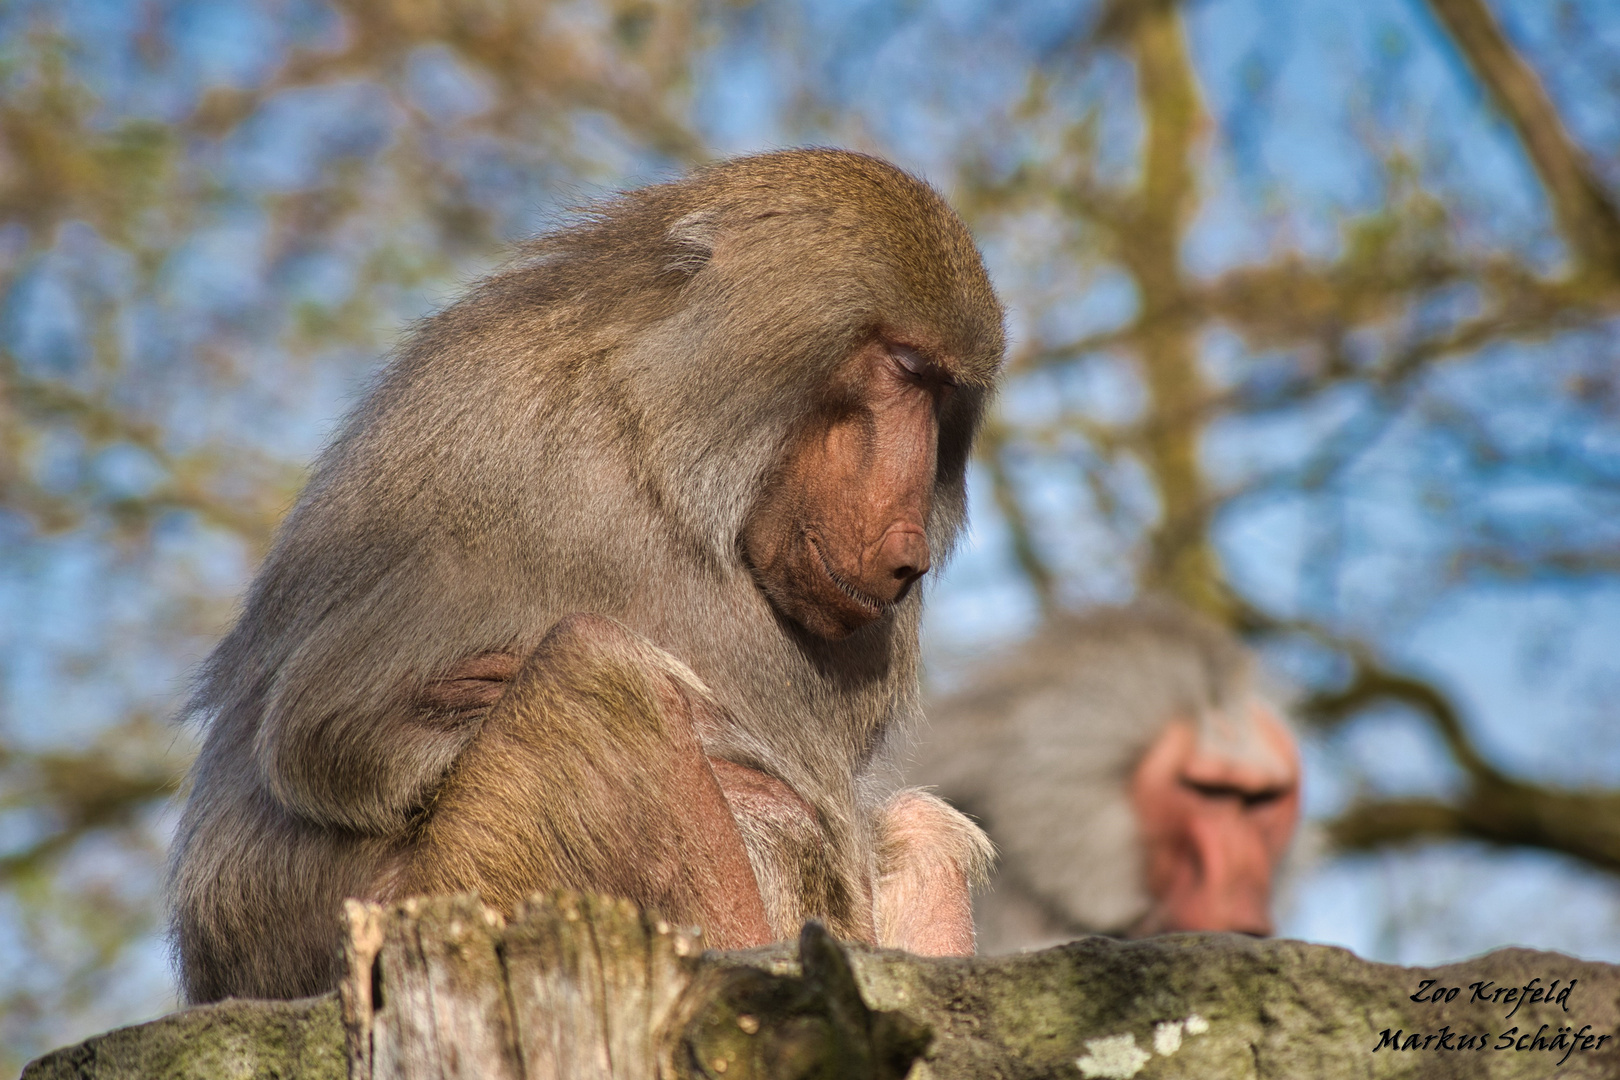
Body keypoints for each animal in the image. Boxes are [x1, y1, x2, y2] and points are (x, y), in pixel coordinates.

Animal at [164, 148, 997, 1003]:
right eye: (902, 368)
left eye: (944, 394)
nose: (907, 555)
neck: (662, 450)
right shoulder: (506, 464)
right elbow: (326, 741)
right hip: (462, 887)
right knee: (600, 678)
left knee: (915, 825)